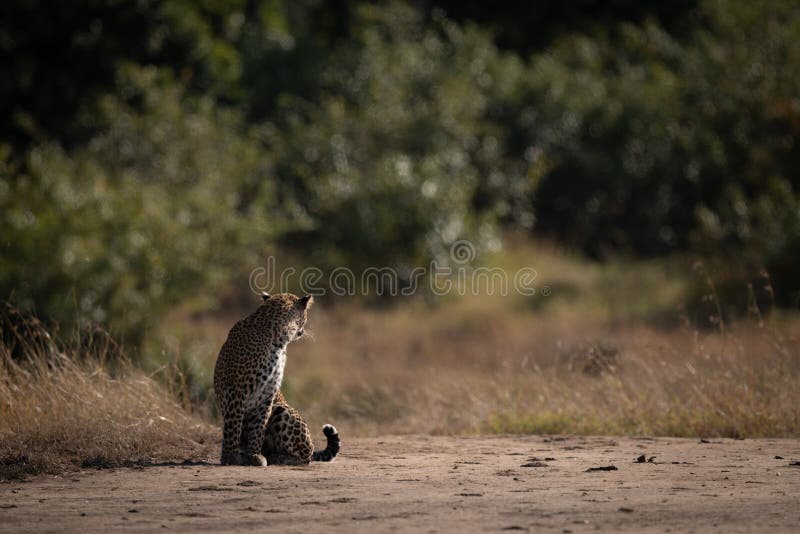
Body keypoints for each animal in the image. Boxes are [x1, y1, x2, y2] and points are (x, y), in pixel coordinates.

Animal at [213, 291, 339, 466]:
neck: (277, 340)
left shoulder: (268, 392)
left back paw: (277, 456)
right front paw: (230, 456)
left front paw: (254, 455)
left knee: (306, 457)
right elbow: (234, 424)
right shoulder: (237, 389)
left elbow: (259, 426)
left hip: (282, 408)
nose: (302, 331)